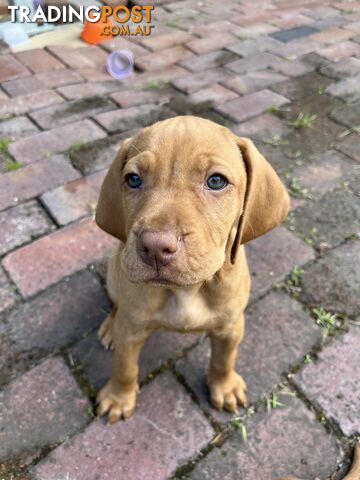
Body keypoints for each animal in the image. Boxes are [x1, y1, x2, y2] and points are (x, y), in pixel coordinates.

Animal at [95, 116, 290, 424]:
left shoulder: (231, 326)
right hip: (116, 275)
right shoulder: (132, 330)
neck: (188, 289)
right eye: (133, 180)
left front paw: (225, 387)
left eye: (216, 181)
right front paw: (118, 397)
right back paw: (110, 327)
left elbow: (223, 360)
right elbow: (124, 367)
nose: (155, 247)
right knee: (117, 304)